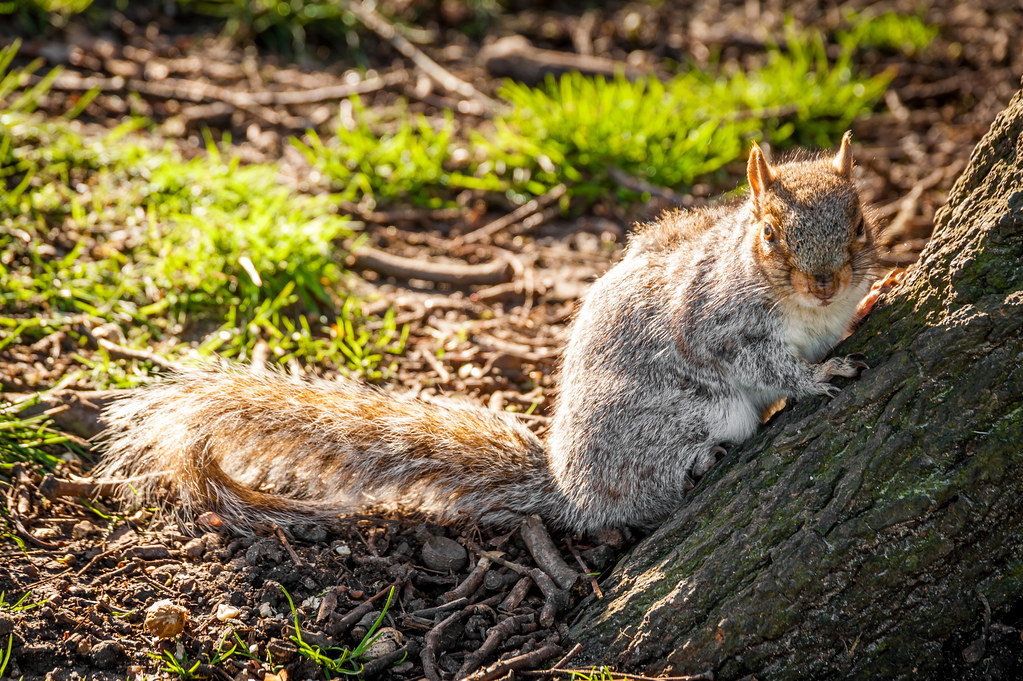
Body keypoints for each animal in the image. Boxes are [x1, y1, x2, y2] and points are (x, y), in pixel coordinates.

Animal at [96, 133, 886, 534]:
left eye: (858, 224)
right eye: (770, 234)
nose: (823, 282)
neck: (805, 310)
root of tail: (566, 485)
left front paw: (870, 298)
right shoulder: (716, 324)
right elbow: (767, 365)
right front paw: (817, 377)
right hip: (664, 419)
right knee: (638, 493)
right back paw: (691, 466)